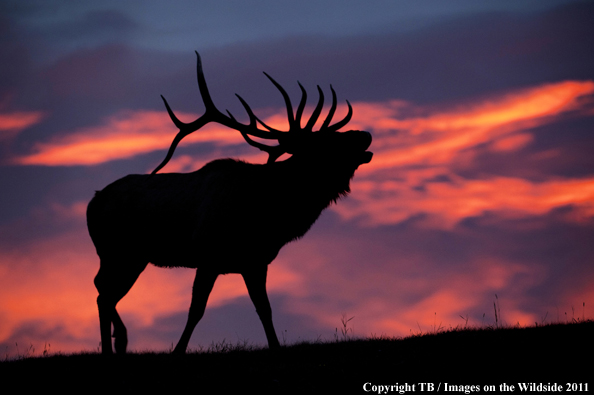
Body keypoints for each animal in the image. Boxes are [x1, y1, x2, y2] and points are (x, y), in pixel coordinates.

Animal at [84, 51, 370, 354]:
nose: (365, 134)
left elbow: (264, 309)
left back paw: (118, 341)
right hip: (117, 251)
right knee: (104, 292)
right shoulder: (208, 256)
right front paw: (177, 350)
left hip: (132, 256)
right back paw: (115, 343)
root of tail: (92, 203)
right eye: (326, 142)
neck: (272, 213)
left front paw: (275, 346)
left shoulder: (255, 261)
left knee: (104, 291)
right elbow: (196, 310)